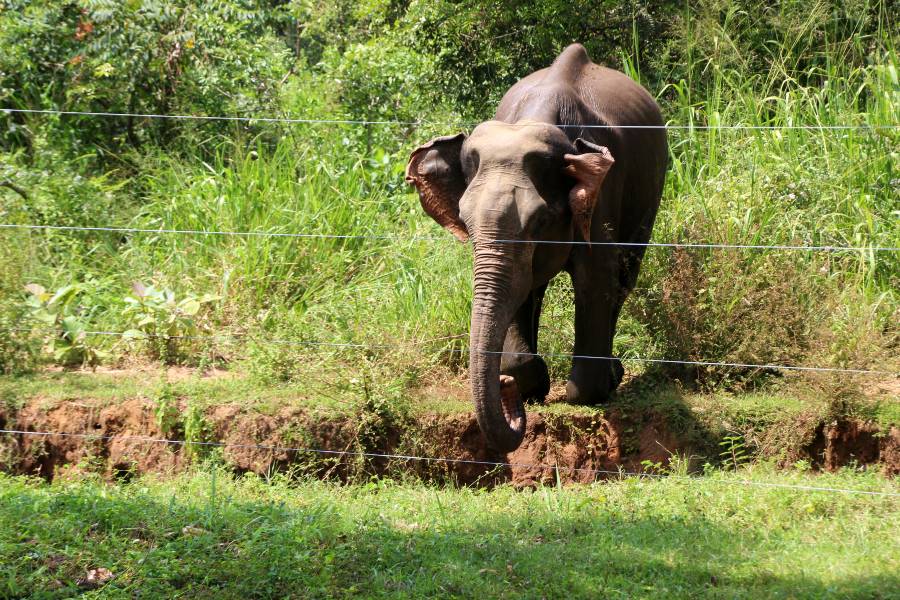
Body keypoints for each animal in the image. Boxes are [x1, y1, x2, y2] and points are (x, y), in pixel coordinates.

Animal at [405, 44, 667, 453]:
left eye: (540, 222)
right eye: (464, 220)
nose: (504, 389)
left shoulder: (602, 191)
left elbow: (596, 280)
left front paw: (593, 388)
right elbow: (520, 287)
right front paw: (526, 383)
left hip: (650, 193)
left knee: (625, 277)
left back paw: (613, 373)